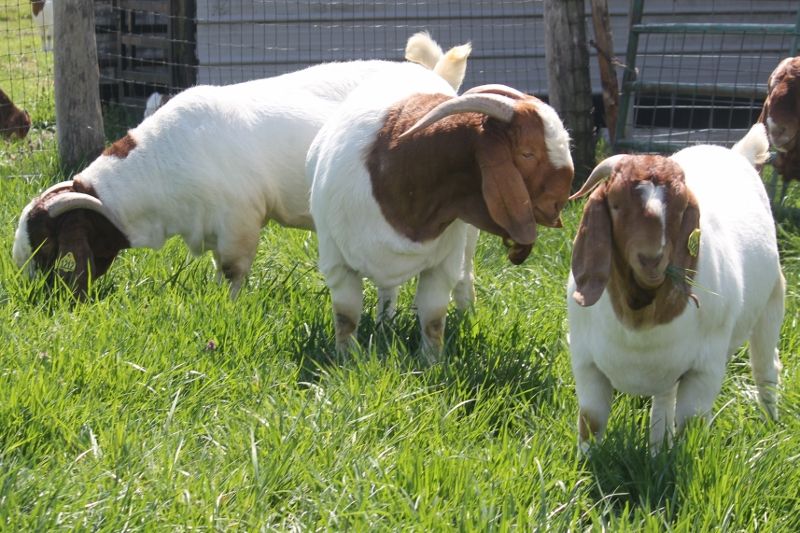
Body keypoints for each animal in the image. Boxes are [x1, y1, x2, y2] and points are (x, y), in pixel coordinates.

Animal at [12, 35, 472, 298]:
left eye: (47, 247)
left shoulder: (240, 221)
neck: (159, 168)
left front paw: (229, 307)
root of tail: (438, 80)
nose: (34, 300)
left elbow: (233, 271)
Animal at [306, 67, 576, 358]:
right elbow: (346, 317)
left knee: (463, 279)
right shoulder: (337, 263)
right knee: (387, 290)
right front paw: (346, 358)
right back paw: (385, 324)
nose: (557, 207)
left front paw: (431, 361)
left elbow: (433, 319)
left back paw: (466, 318)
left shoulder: (442, 265)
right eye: (527, 153)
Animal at [564, 121, 784, 454]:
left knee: (766, 370)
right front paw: (586, 463)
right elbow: (591, 420)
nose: (651, 258)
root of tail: (737, 152)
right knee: (664, 399)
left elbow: (691, 425)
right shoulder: (585, 362)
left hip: (772, 304)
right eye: (615, 204)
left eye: (681, 210)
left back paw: (771, 425)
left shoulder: (705, 370)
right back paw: (657, 446)